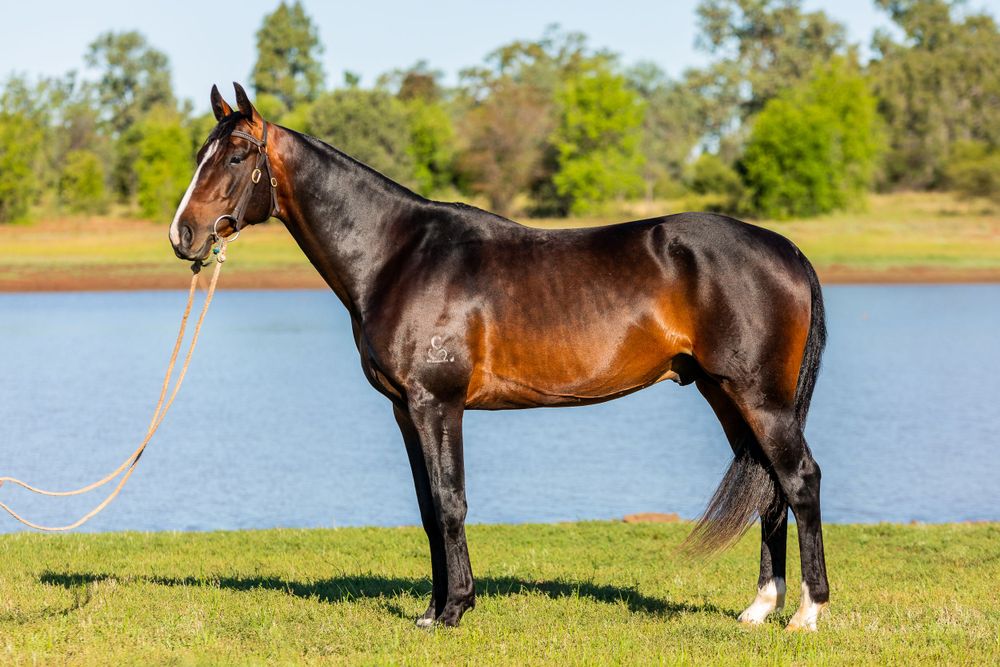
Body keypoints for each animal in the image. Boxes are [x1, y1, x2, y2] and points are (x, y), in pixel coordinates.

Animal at [169, 83, 830, 631]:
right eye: (201, 153)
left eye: (236, 156)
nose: (183, 235)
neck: (398, 255)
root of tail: (787, 249)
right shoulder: (405, 411)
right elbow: (428, 507)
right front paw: (433, 609)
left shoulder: (438, 404)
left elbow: (450, 501)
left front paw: (454, 609)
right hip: (725, 393)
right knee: (769, 485)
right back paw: (759, 608)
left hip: (759, 396)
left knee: (799, 480)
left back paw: (806, 614)